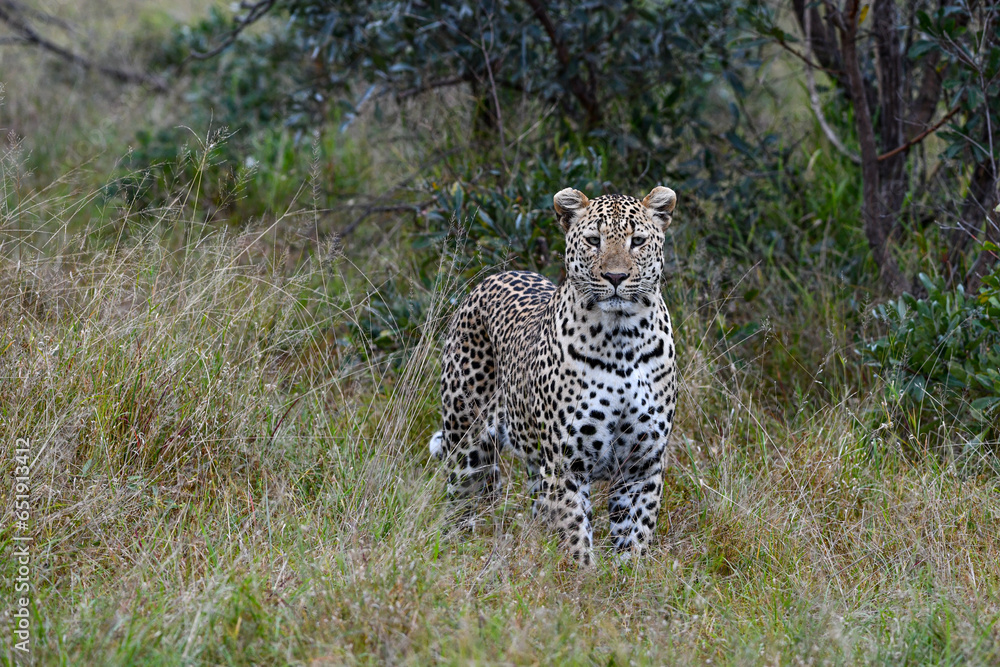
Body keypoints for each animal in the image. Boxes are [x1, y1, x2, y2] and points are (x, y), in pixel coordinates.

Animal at [429, 186, 679, 565]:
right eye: (593, 241)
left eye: (637, 241)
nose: (616, 277)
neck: (622, 337)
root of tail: (495, 276)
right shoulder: (566, 462)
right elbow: (574, 533)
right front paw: (582, 575)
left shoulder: (642, 463)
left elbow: (636, 532)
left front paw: (630, 573)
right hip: (467, 442)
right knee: (460, 501)